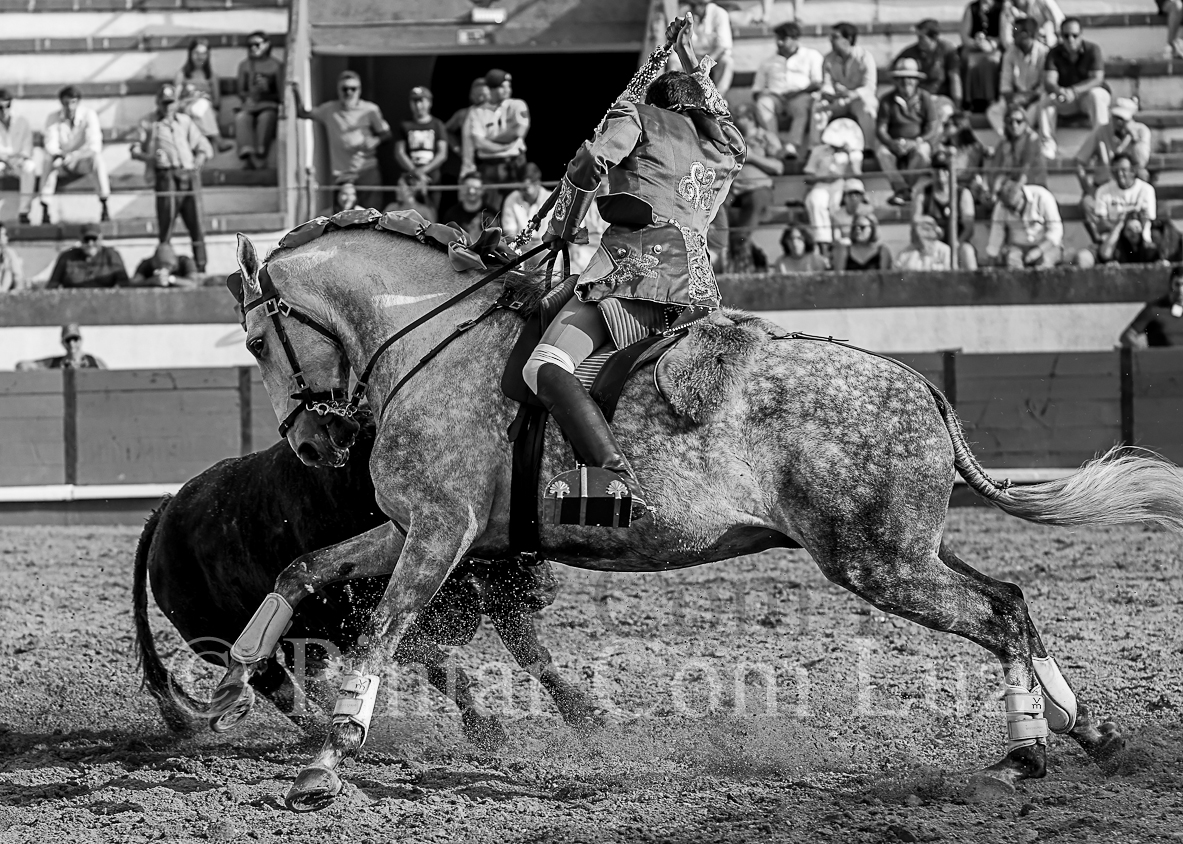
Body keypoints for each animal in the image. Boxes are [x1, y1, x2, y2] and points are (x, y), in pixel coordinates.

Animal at [133, 410, 599, 746]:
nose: (545, 589)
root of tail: (167, 509)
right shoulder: (368, 622)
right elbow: (444, 669)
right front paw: (486, 730)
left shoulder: (502, 603)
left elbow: (533, 657)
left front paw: (585, 715)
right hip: (222, 643)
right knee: (282, 688)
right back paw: (328, 734)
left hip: (304, 635)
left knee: (308, 675)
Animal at [212, 223, 1183, 811]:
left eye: (259, 341)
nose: (315, 443)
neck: (430, 345)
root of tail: (920, 386)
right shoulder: (414, 526)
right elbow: (302, 569)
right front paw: (230, 683)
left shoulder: (439, 531)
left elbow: (379, 630)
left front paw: (325, 761)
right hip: (906, 551)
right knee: (1011, 599)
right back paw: (1082, 737)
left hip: (875, 562)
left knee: (993, 613)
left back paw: (1032, 751)